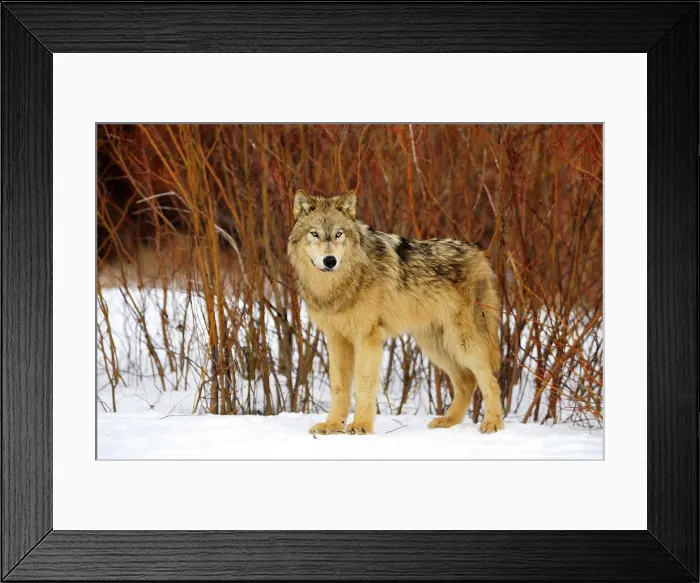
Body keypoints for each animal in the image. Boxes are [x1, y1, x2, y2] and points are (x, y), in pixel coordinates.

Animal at [287, 190, 504, 435]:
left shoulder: (367, 338)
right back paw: (448, 422)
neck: (338, 284)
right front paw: (332, 425)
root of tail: (479, 253)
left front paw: (361, 426)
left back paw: (493, 423)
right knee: (467, 381)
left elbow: (363, 385)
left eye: (338, 234)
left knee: (490, 380)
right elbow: (339, 387)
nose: (330, 260)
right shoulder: (336, 339)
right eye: (314, 233)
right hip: (435, 346)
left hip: (464, 343)